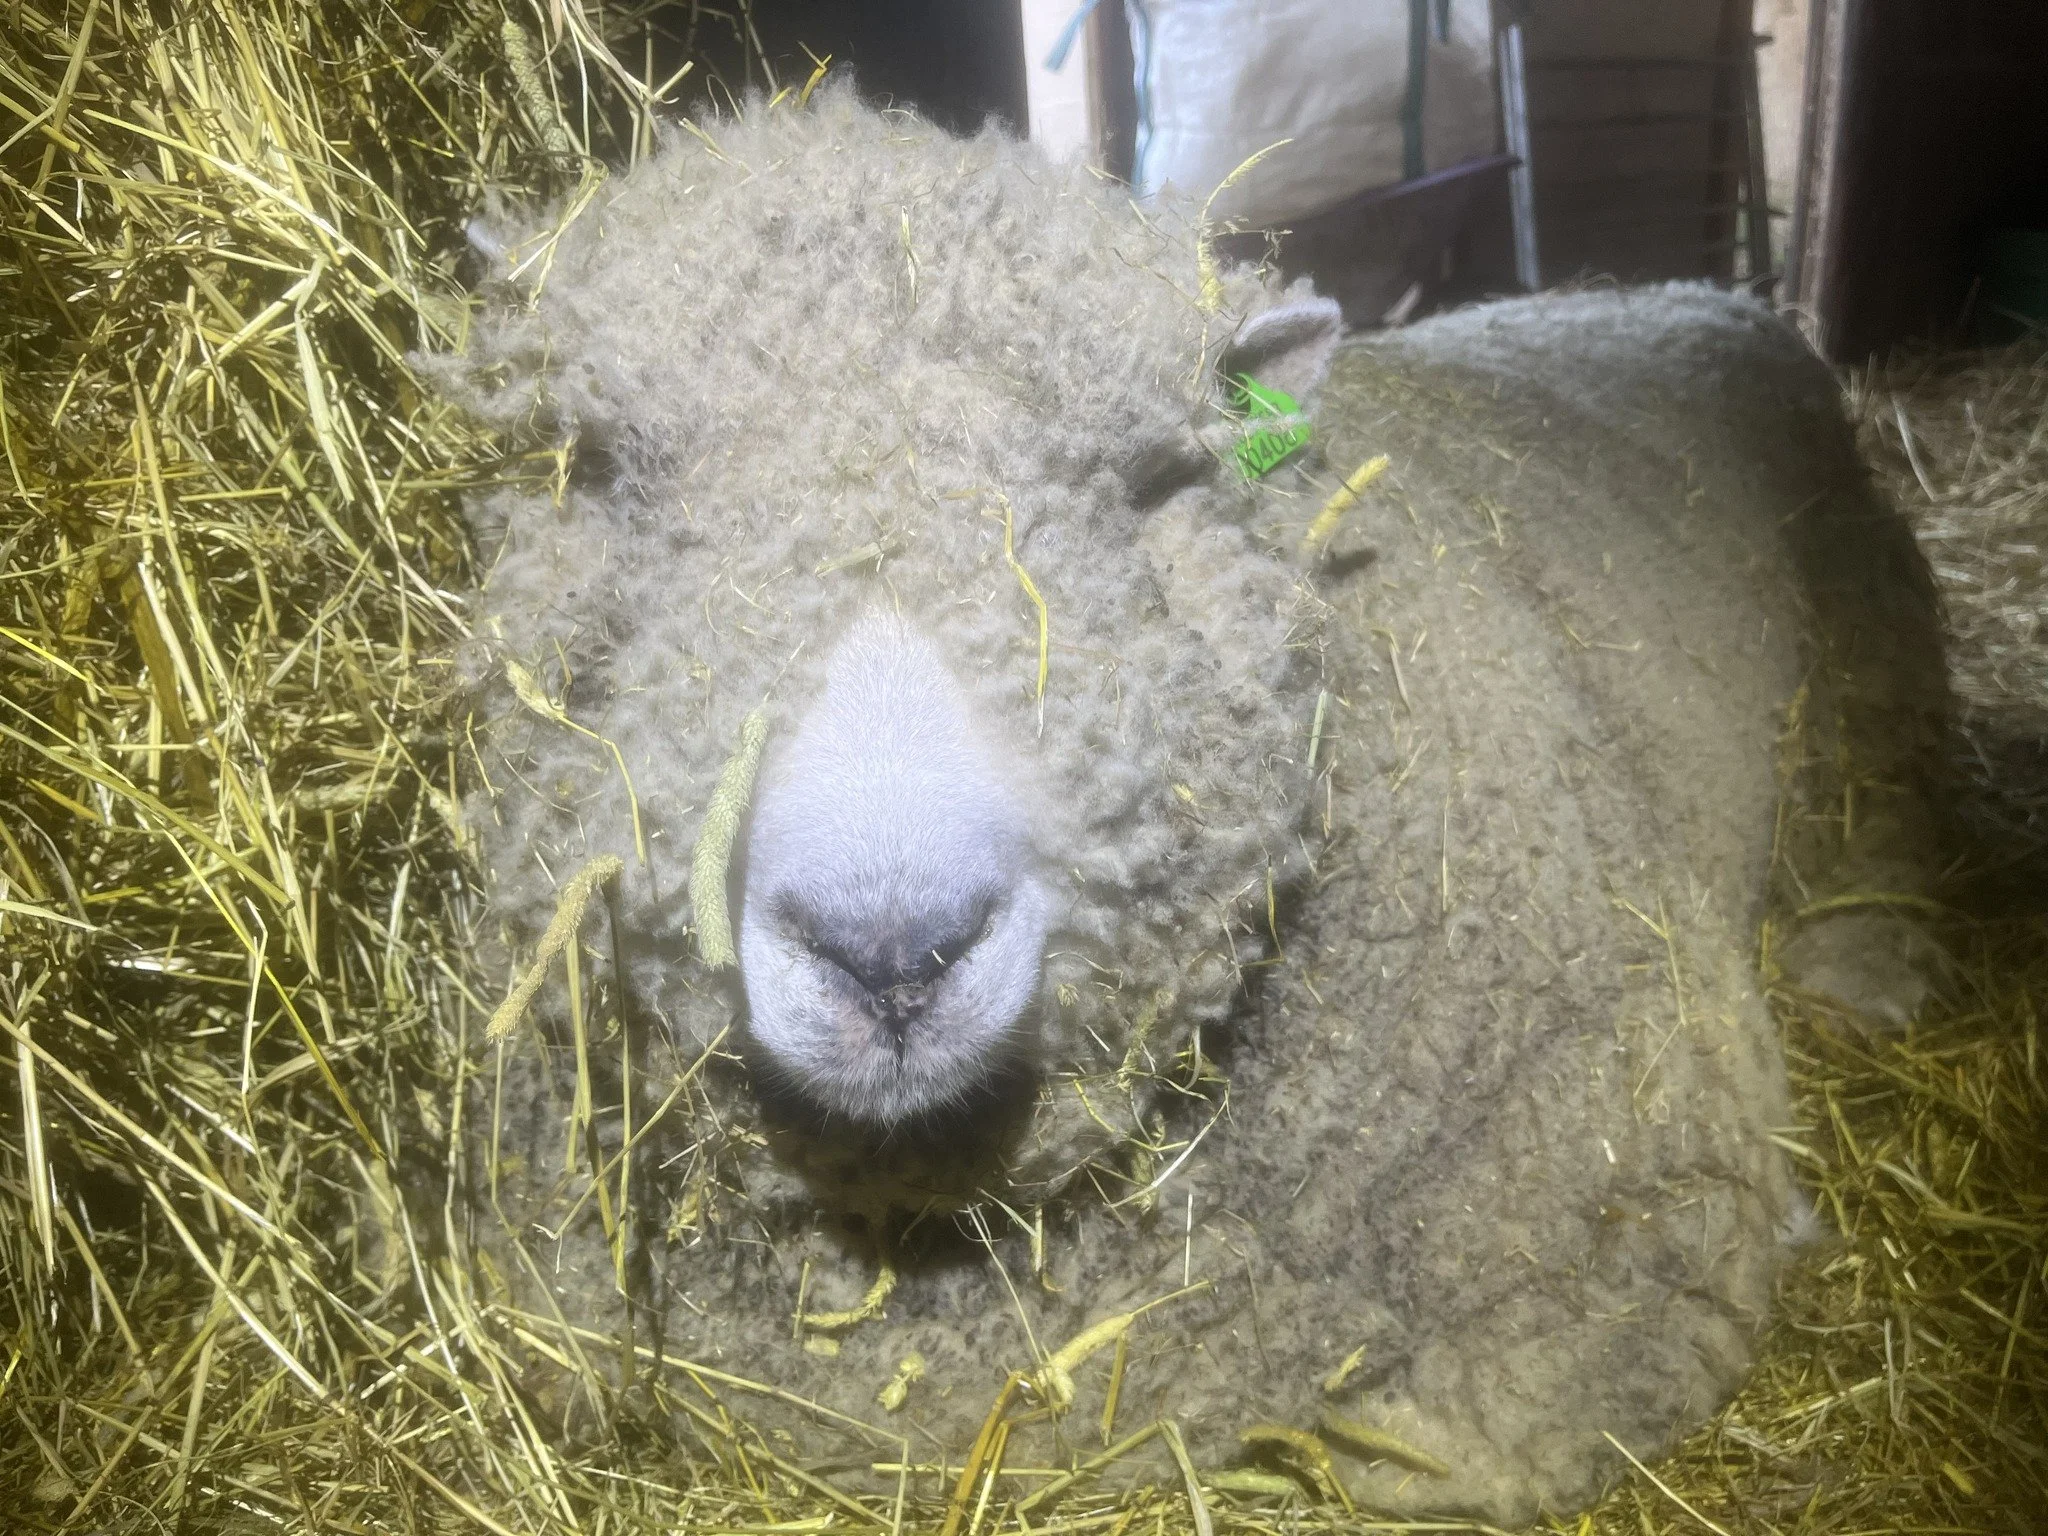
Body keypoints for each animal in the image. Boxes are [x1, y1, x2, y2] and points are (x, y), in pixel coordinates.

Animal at [430, 86, 1947, 1525]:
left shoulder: (1615, 1276)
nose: (890, 951)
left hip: (1869, 671)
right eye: (598, 469)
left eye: (1152, 482)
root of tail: (1678, 293)